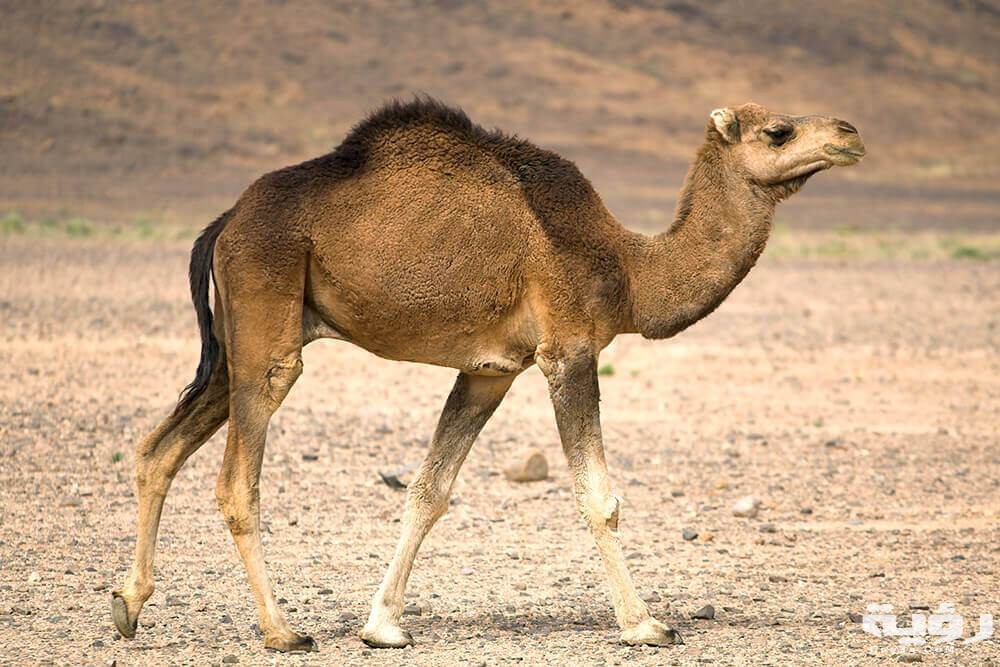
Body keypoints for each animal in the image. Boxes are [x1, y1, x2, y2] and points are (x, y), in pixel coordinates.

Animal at [111, 98, 865, 652]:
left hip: (240, 340)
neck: (626, 266)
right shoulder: (569, 350)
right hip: (267, 310)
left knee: (156, 449)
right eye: (778, 130)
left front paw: (383, 625)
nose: (851, 133)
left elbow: (430, 490)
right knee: (237, 479)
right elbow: (599, 496)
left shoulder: (490, 371)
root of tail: (226, 220)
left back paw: (128, 604)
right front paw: (645, 623)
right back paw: (281, 630)